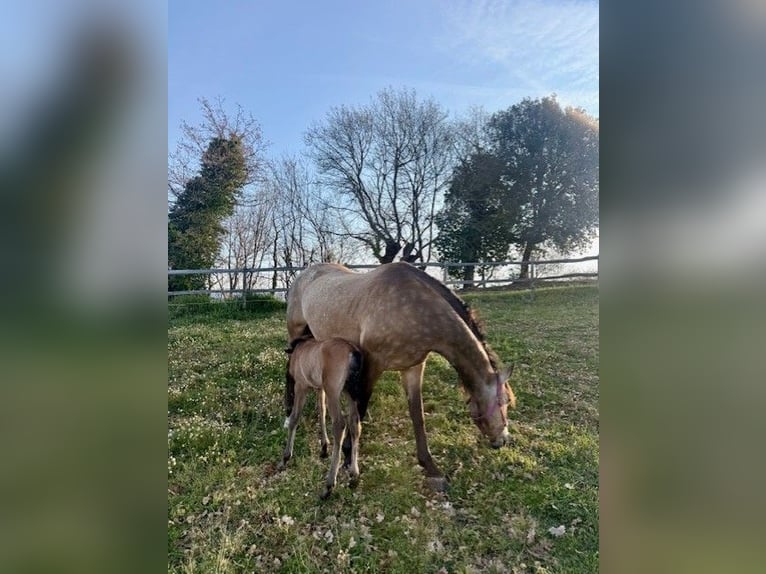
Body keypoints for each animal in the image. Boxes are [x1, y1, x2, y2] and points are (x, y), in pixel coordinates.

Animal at [279, 334, 365, 499]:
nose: (286, 406)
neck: (299, 350)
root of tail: (353, 352)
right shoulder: (320, 388)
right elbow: (321, 412)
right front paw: (324, 446)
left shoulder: (301, 386)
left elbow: (295, 418)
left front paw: (286, 457)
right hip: (349, 392)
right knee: (354, 423)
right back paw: (354, 475)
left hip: (333, 392)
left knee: (340, 424)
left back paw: (329, 485)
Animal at [286, 261, 516, 489]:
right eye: (504, 401)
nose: (503, 440)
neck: (414, 309)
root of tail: (305, 273)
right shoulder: (372, 365)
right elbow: (359, 413)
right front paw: (348, 458)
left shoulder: (413, 368)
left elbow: (417, 415)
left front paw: (431, 468)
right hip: (296, 332)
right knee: (291, 372)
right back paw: (289, 417)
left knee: (320, 391)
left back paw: (324, 443)